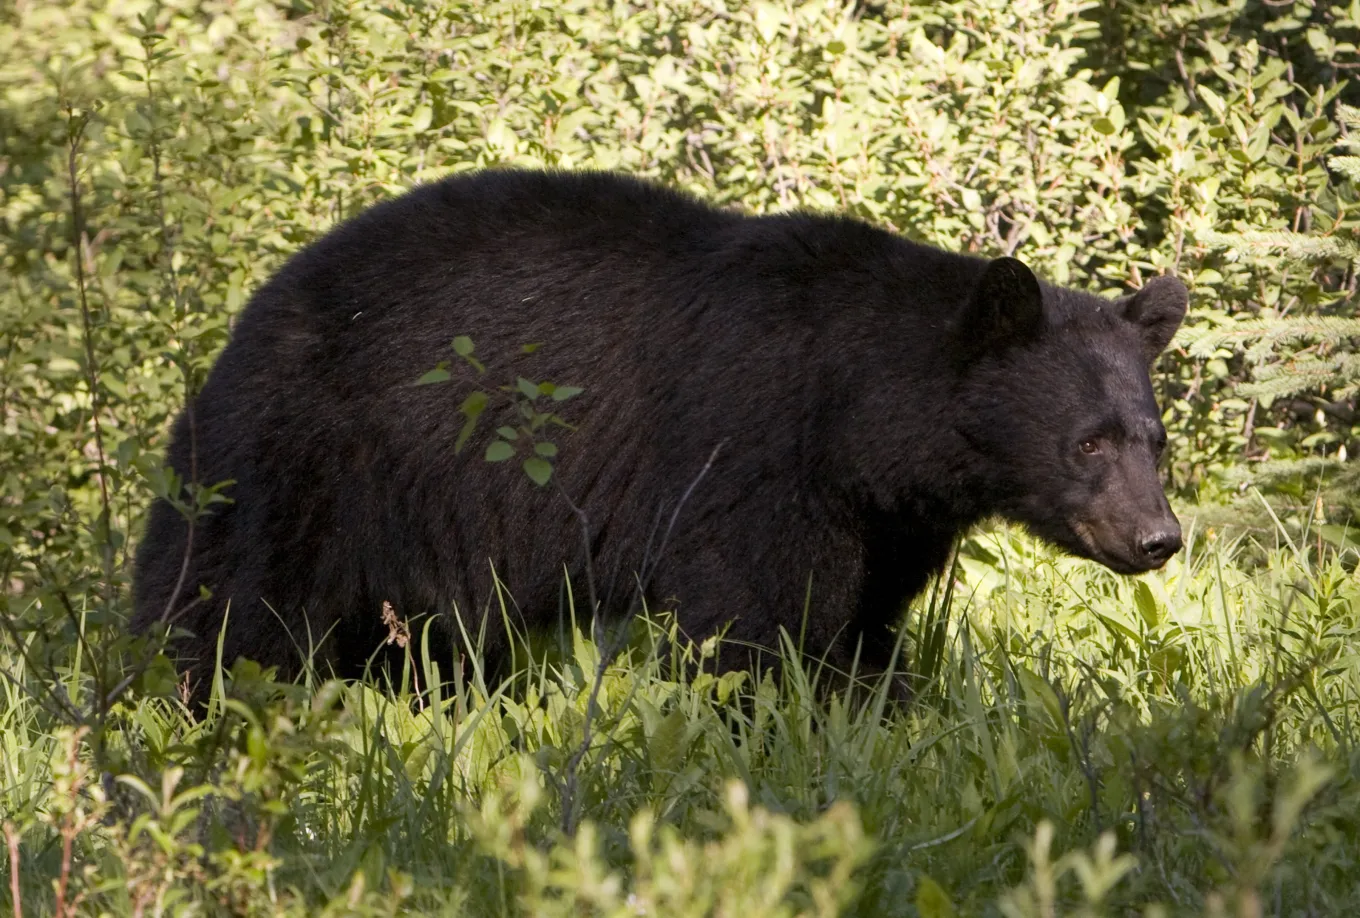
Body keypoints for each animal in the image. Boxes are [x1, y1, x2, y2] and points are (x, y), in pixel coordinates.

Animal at [132, 169, 1188, 704]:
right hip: (301, 463)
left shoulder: (887, 519)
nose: (1158, 538)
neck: (860, 411)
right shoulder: (751, 456)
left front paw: (876, 708)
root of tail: (246, 322)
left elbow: (860, 625)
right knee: (228, 606)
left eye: (1155, 438)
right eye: (1089, 442)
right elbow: (756, 622)